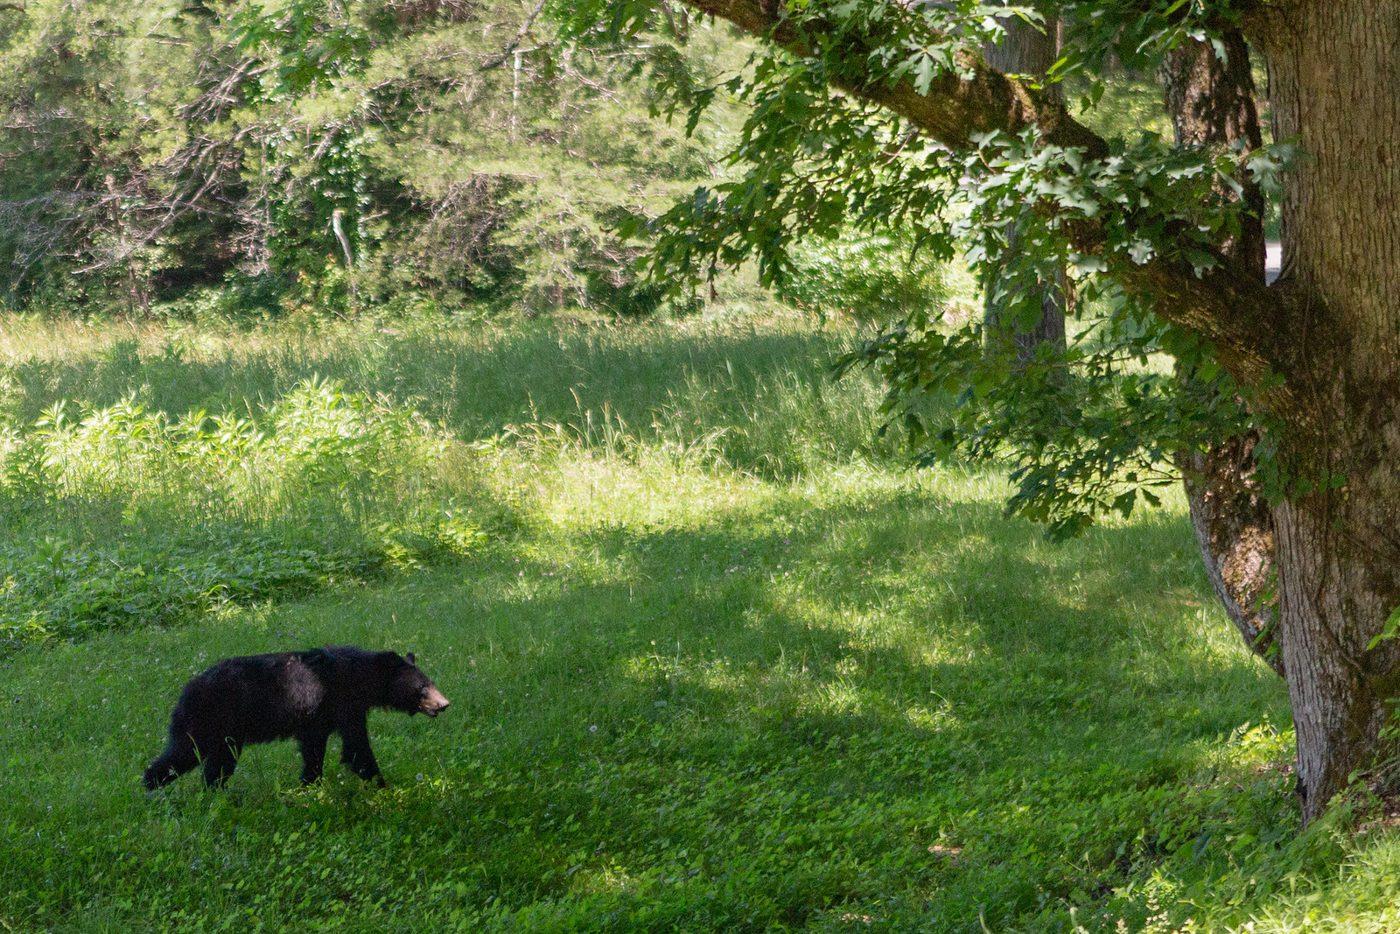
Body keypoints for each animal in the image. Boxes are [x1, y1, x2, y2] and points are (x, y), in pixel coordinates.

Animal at [143, 646, 449, 790]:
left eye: (431, 681)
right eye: (423, 687)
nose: (444, 704)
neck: (361, 676)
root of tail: (186, 689)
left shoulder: (320, 718)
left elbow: (314, 748)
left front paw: (309, 783)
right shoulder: (344, 702)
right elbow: (356, 747)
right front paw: (382, 784)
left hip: (225, 735)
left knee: (216, 765)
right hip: (207, 721)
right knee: (183, 754)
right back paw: (150, 786)